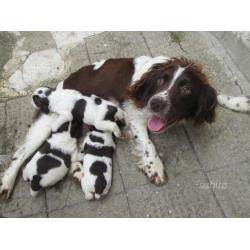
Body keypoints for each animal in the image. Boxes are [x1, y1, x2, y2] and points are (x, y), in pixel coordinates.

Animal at [0, 55, 218, 200]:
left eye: (186, 89)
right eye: (160, 81)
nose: (156, 103)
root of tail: (55, 88)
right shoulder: (133, 114)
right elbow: (147, 143)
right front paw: (154, 166)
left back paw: (78, 170)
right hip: (46, 125)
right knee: (19, 155)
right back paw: (6, 184)